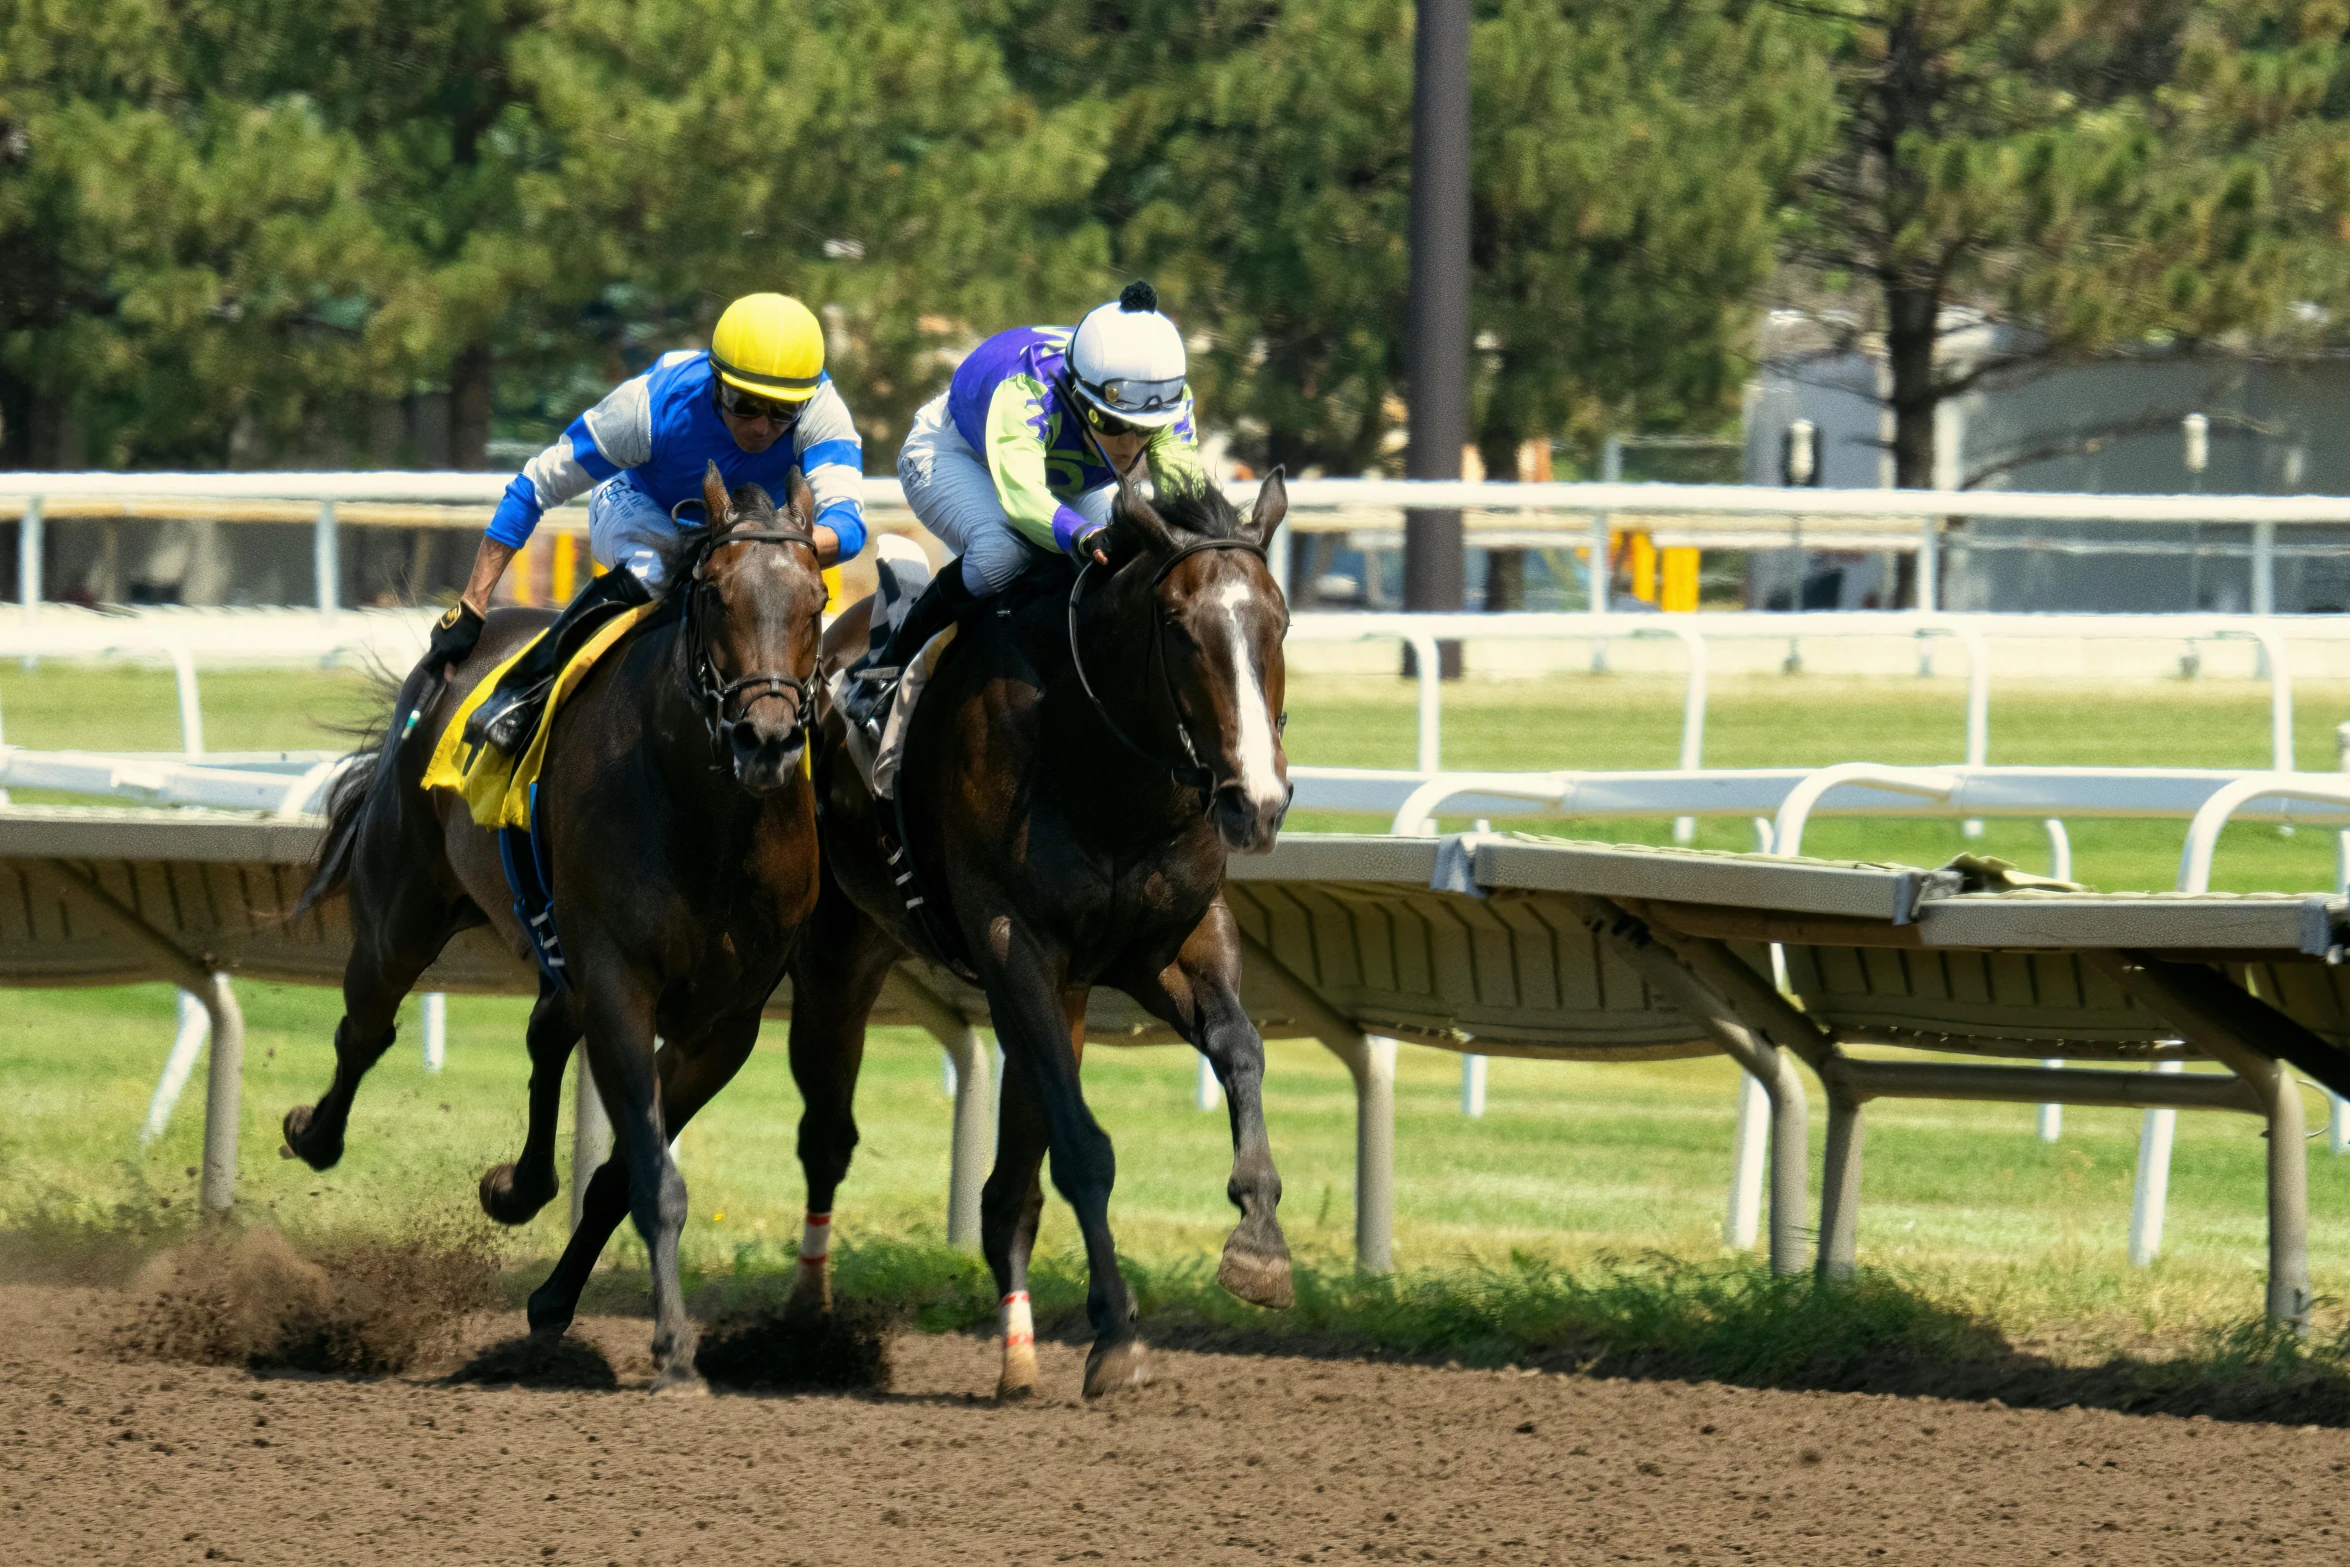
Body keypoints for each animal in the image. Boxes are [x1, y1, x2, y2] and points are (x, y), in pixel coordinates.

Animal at [290, 465, 831, 1400]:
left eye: (816, 599)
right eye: (716, 597)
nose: (765, 738)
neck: (714, 819)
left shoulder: (724, 1021)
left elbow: (622, 1170)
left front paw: (556, 1295)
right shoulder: (620, 981)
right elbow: (653, 1175)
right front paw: (674, 1350)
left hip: (554, 943)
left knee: (544, 1033)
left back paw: (521, 1187)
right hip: (403, 905)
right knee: (365, 1025)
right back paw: (314, 1134)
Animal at [798, 472, 1297, 1400]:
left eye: (1277, 620)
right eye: (1179, 627)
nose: (1257, 801)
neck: (1103, 764)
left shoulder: (1169, 941)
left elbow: (1241, 1047)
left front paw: (1259, 1241)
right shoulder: (1013, 941)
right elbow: (1081, 1145)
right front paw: (1119, 1335)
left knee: (1004, 1190)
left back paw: (1016, 1351)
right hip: (832, 947)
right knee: (820, 1130)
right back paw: (803, 1320)